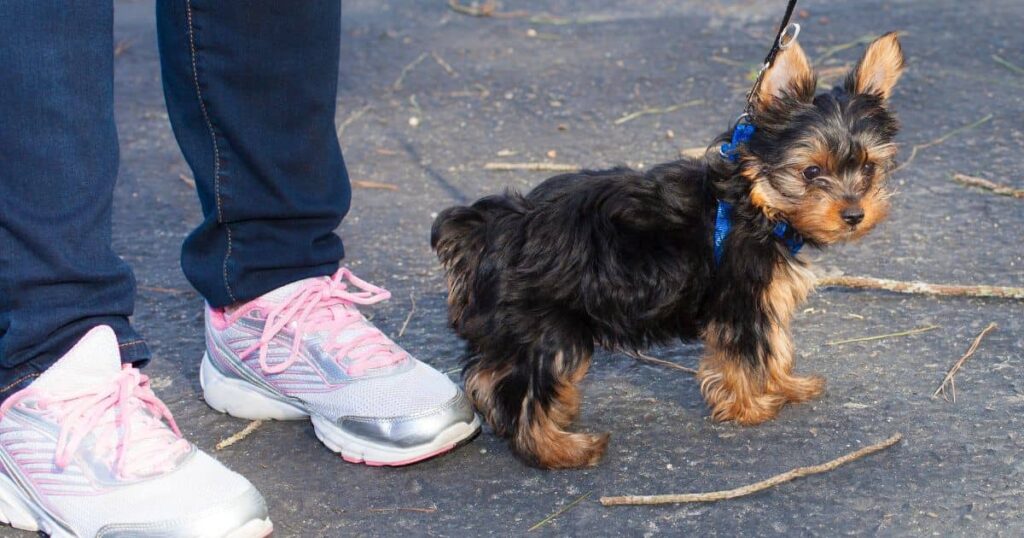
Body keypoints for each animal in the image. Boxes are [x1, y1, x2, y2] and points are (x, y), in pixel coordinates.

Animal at [430, 33, 905, 465]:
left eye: (867, 167)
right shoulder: (741, 299)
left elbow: (775, 343)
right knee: (524, 391)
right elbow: (749, 352)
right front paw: (752, 407)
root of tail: (490, 228)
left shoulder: (761, 298)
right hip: (546, 328)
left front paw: (786, 385)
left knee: (489, 374)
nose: (854, 213)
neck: (756, 199)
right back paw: (560, 449)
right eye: (810, 172)